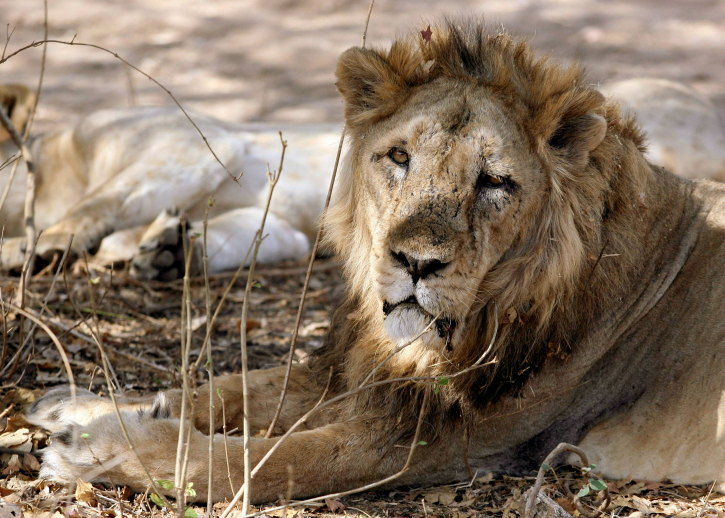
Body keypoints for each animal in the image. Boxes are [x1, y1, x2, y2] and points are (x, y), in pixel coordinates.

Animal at [26, 22, 724, 506]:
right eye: (398, 157)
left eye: (496, 181)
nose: (415, 262)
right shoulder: (353, 373)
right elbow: (223, 389)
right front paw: (78, 407)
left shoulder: (440, 440)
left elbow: (260, 460)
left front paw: (96, 447)